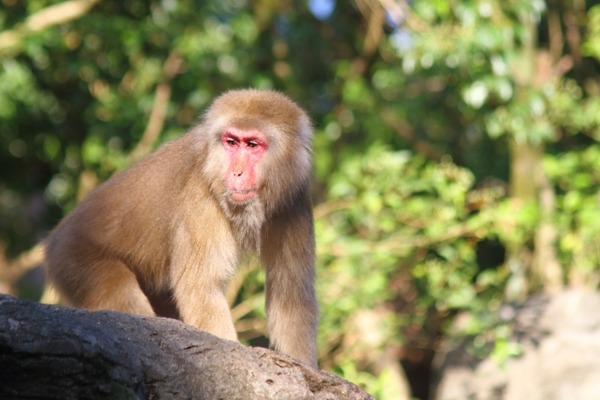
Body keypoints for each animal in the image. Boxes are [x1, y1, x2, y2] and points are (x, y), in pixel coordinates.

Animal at [44, 88, 318, 366]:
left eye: (252, 145)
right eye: (232, 142)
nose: (237, 173)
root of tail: (57, 237)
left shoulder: (294, 198)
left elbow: (290, 295)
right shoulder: (200, 199)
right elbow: (202, 289)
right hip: (76, 261)